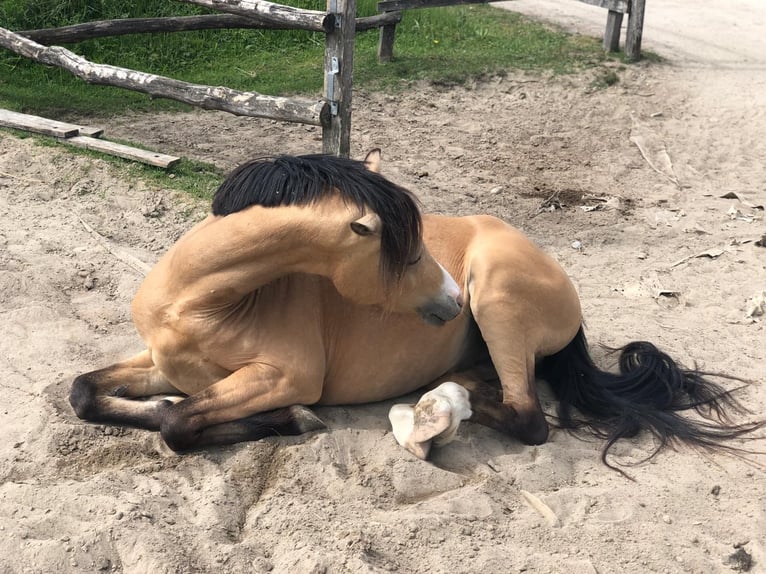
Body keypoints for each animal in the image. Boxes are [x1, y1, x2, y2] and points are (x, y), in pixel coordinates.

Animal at [70, 151, 760, 470]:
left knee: (527, 416)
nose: (451, 299)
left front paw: (291, 421)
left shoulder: (287, 375)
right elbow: (86, 393)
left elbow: (178, 425)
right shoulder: (162, 363)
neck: (203, 302)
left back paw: (437, 410)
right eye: (404, 252)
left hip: (498, 300)